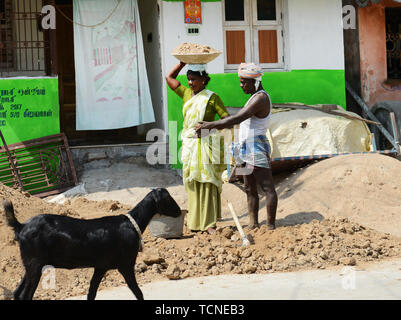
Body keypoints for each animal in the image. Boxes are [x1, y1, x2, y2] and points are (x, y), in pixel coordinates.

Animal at [2, 188, 181, 300]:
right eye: (168, 198)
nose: (179, 211)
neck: (132, 223)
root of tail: (21, 226)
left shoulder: (101, 266)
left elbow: (91, 293)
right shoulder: (126, 265)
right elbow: (138, 292)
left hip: (31, 264)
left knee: (17, 293)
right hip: (35, 263)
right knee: (25, 295)